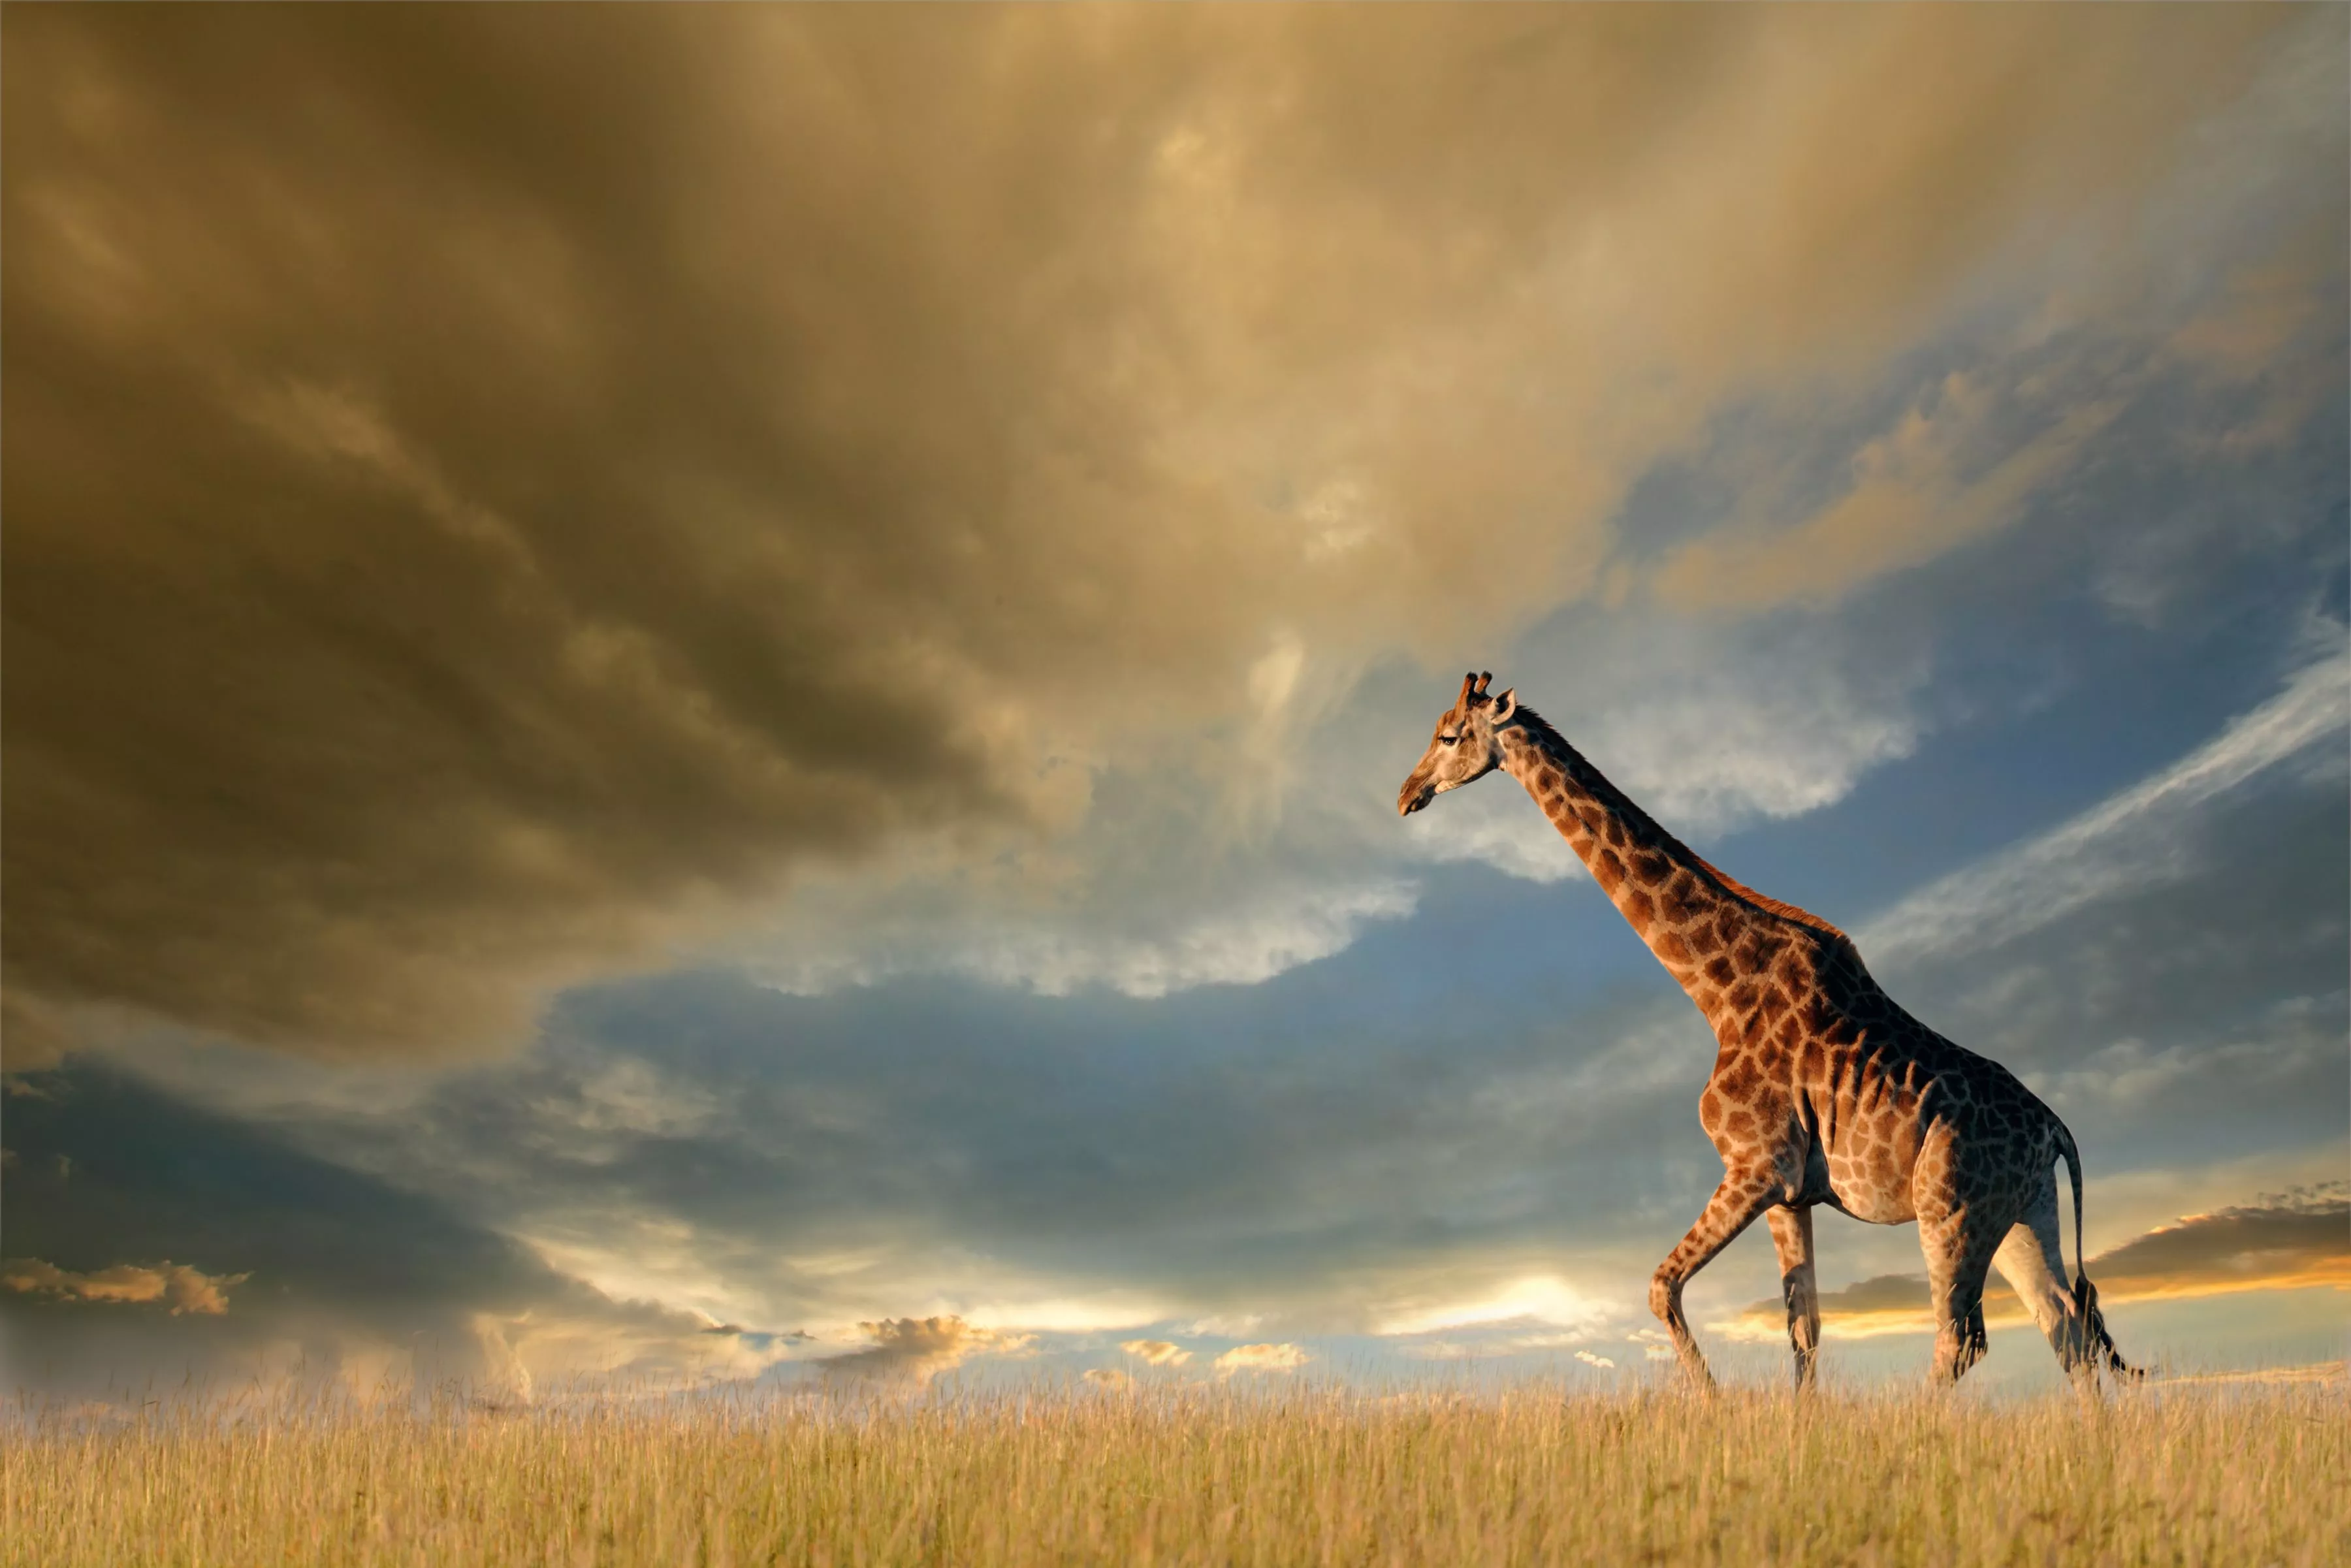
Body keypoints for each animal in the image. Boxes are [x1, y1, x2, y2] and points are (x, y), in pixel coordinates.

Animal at [1397, 672, 2137, 1390]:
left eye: (1450, 734)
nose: (1407, 794)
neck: (1717, 993)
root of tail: (2055, 1130)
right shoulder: (1790, 1191)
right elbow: (1803, 1328)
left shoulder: (1755, 1165)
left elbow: (1662, 1286)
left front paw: (1714, 1402)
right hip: (2022, 1212)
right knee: (2066, 1327)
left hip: (1951, 1210)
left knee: (1965, 1339)